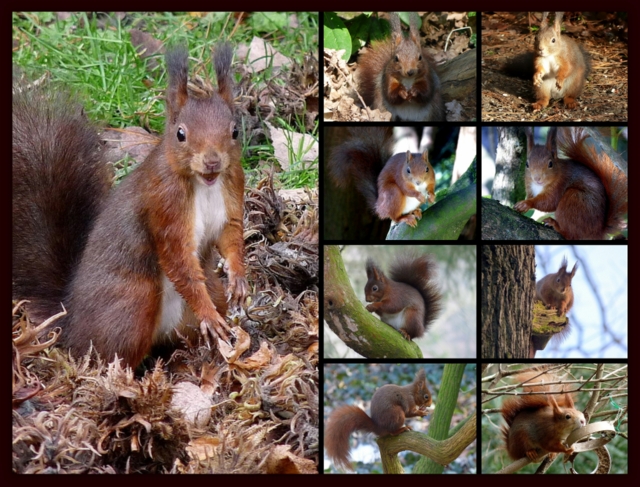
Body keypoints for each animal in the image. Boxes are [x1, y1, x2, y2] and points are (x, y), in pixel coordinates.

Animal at [12, 43, 248, 368]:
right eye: (180, 134)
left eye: (235, 131)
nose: (212, 161)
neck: (205, 184)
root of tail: (70, 321)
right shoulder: (165, 204)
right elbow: (178, 261)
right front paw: (209, 315)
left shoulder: (234, 188)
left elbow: (231, 236)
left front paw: (238, 278)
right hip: (133, 303)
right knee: (114, 354)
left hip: (207, 293)